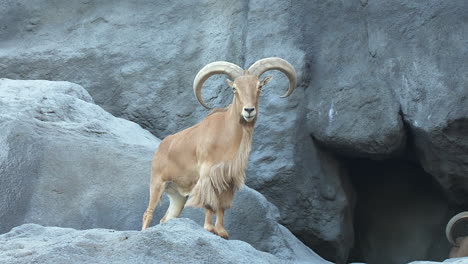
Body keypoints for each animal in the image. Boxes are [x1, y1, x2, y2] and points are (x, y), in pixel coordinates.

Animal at [142, 56, 296, 238]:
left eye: (259, 86)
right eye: (235, 88)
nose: (249, 110)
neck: (227, 135)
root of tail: (162, 146)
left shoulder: (228, 177)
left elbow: (222, 205)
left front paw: (222, 232)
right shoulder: (208, 173)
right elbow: (210, 202)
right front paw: (209, 228)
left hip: (178, 195)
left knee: (166, 218)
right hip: (157, 183)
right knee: (148, 213)